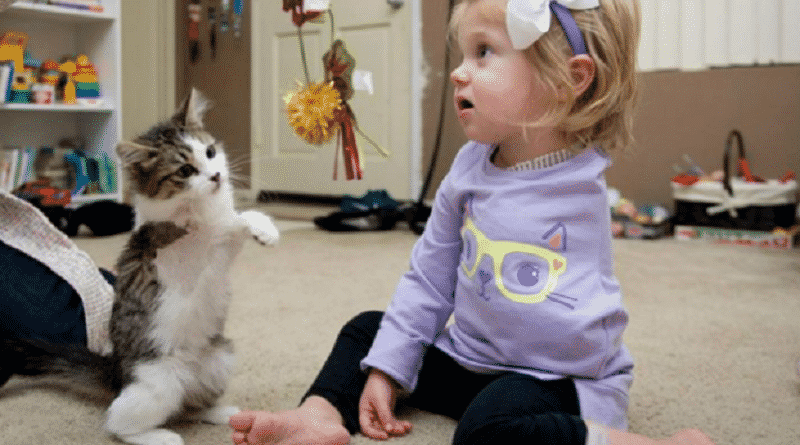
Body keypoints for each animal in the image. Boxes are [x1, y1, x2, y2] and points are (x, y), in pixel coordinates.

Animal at [0, 87, 280, 444]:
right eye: (185, 171)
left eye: (210, 152)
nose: (216, 176)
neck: (202, 209)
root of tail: (116, 372)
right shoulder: (175, 245)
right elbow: (214, 229)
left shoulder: (221, 242)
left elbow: (238, 220)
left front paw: (264, 228)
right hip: (158, 384)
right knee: (117, 423)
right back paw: (161, 436)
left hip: (220, 360)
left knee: (191, 405)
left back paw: (221, 413)